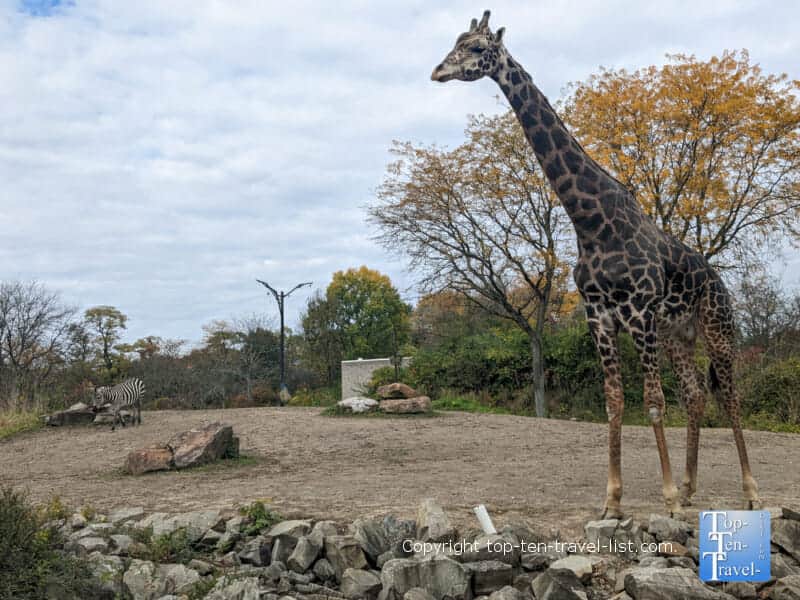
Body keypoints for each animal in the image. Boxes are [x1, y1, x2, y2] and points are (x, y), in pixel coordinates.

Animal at [431, 10, 761, 517]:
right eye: (456, 42)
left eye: (476, 47)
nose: (438, 72)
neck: (590, 221)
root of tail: (719, 281)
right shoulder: (599, 317)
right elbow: (615, 402)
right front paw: (614, 501)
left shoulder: (639, 314)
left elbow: (652, 401)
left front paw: (666, 500)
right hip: (678, 335)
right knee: (695, 393)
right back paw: (691, 487)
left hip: (717, 328)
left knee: (729, 396)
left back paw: (747, 491)